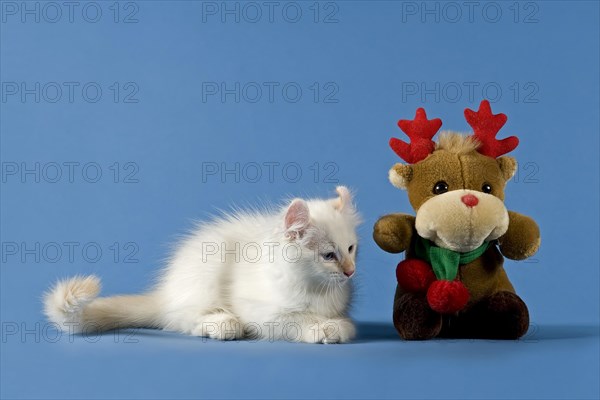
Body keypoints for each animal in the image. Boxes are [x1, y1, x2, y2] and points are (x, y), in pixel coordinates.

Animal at [44, 186, 360, 342]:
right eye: (328, 256)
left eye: (351, 248)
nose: (350, 271)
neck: (313, 287)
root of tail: (165, 292)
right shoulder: (262, 312)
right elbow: (295, 320)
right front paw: (321, 328)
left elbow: (343, 322)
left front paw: (336, 326)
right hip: (206, 272)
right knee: (183, 320)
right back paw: (223, 325)